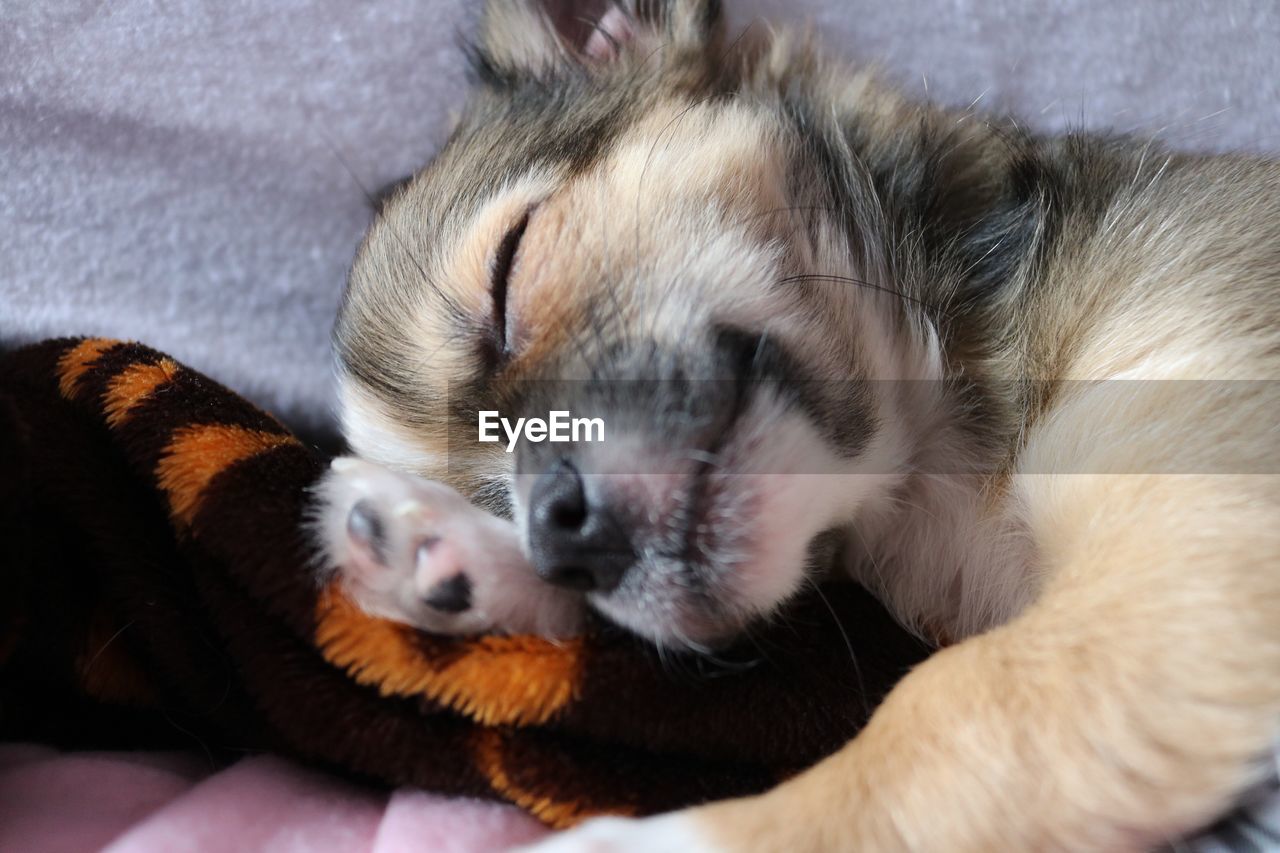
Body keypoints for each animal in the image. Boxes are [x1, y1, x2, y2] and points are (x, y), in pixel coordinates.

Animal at [312, 3, 1280, 845]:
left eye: (508, 273)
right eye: (495, 494)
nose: (555, 534)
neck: (929, 474)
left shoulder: (1191, 555)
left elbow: (947, 715)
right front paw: (446, 543)